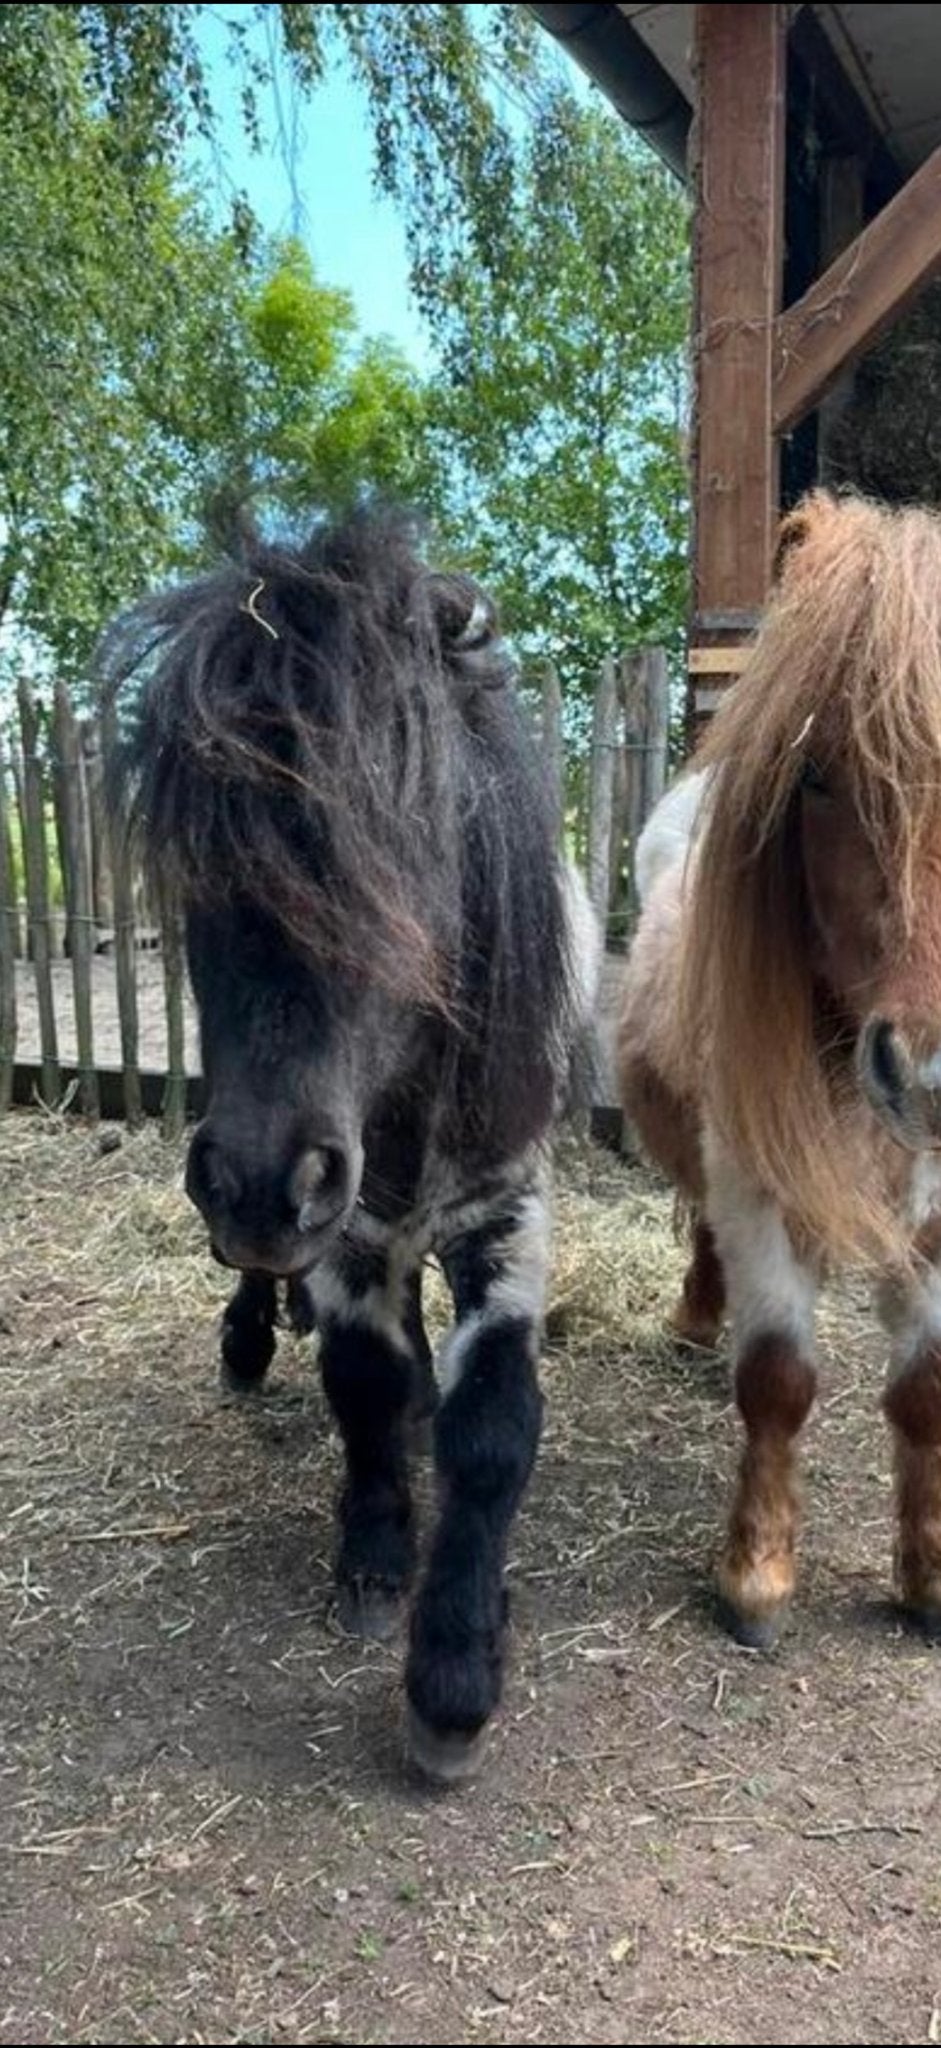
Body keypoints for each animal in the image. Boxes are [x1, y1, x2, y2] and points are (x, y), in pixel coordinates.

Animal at [103, 507, 598, 1783]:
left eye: (409, 835)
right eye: (192, 855)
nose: (257, 1186)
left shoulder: (504, 1211)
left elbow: (489, 1424)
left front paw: (454, 1679)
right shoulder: (346, 1227)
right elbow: (362, 1380)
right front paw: (376, 1556)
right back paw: (247, 1336)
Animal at [617, 489, 941, 1650]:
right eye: (815, 777)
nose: (930, 1071)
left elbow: (925, 1392)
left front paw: (926, 1580)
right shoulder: (756, 1182)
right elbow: (775, 1378)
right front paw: (754, 1578)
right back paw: (691, 1321)